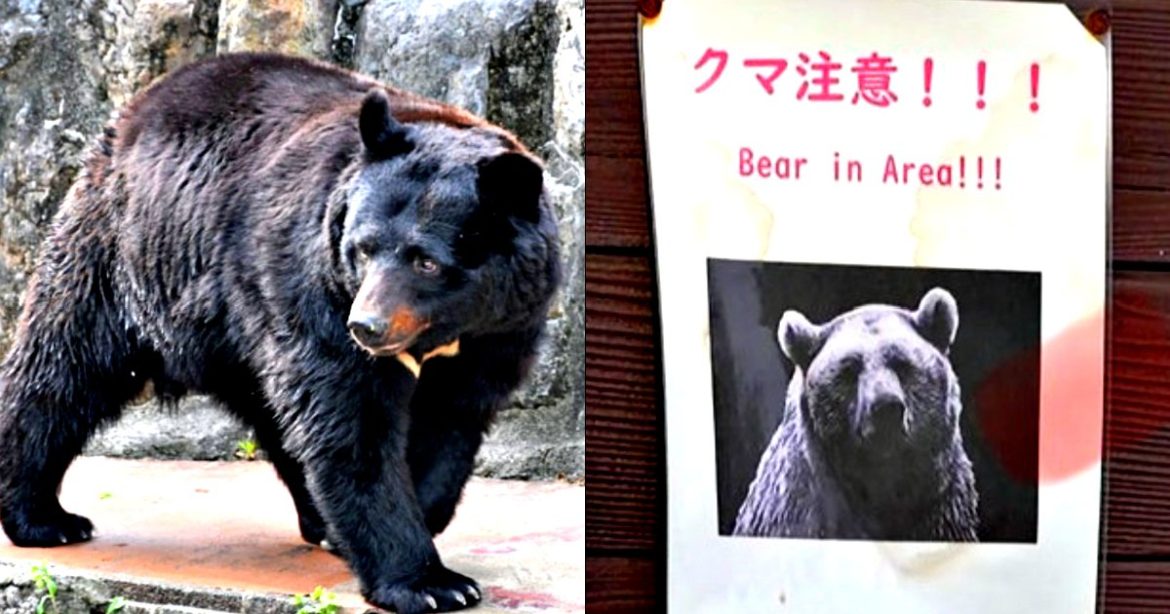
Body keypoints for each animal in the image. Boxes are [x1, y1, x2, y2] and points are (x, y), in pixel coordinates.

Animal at [0, 52, 561, 614]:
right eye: (363, 248)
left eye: (426, 261)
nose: (367, 326)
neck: (448, 327)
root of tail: (135, 110)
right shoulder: (315, 287)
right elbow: (353, 423)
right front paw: (428, 582)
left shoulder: (503, 327)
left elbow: (453, 417)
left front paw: (424, 512)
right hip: (127, 257)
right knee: (66, 368)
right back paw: (43, 517)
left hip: (229, 323)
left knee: (273, 412)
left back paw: (318, 517)